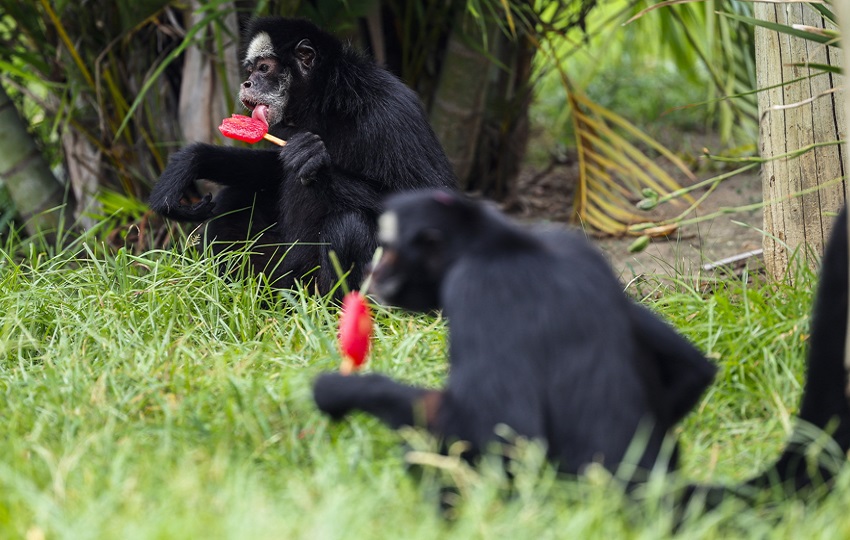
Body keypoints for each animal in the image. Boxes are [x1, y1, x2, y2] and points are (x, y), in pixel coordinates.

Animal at [149, 17, 456, 294]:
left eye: (263, 68)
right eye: (251, 70)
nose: (247, 83)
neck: (328, 102)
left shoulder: (391, 111)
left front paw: (314, 162)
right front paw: (192, 160)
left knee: (349, 225)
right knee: (233, 198)